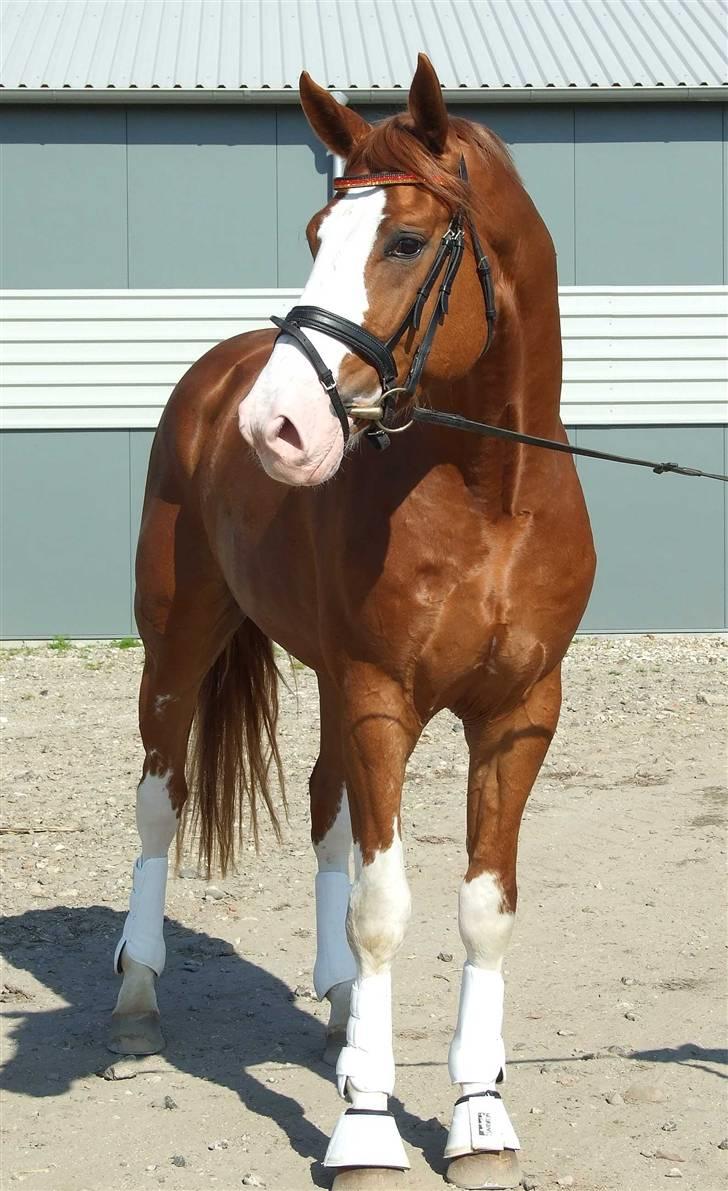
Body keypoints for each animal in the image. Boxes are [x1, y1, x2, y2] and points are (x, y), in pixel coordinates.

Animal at [110, 51, 595, 1186]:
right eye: (314, 235)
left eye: (406, 241)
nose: (274, 426)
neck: (490, 498)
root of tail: (219, 377)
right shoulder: (383, 699)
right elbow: (384, 911)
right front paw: (367, 1128)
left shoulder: (517, 715)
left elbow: (483, 910)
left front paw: (476, 1117)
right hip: (178, 647)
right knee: (161, 799)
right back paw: (137, 999)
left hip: (328, 681)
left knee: (328, 808)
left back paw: (336, 1014)